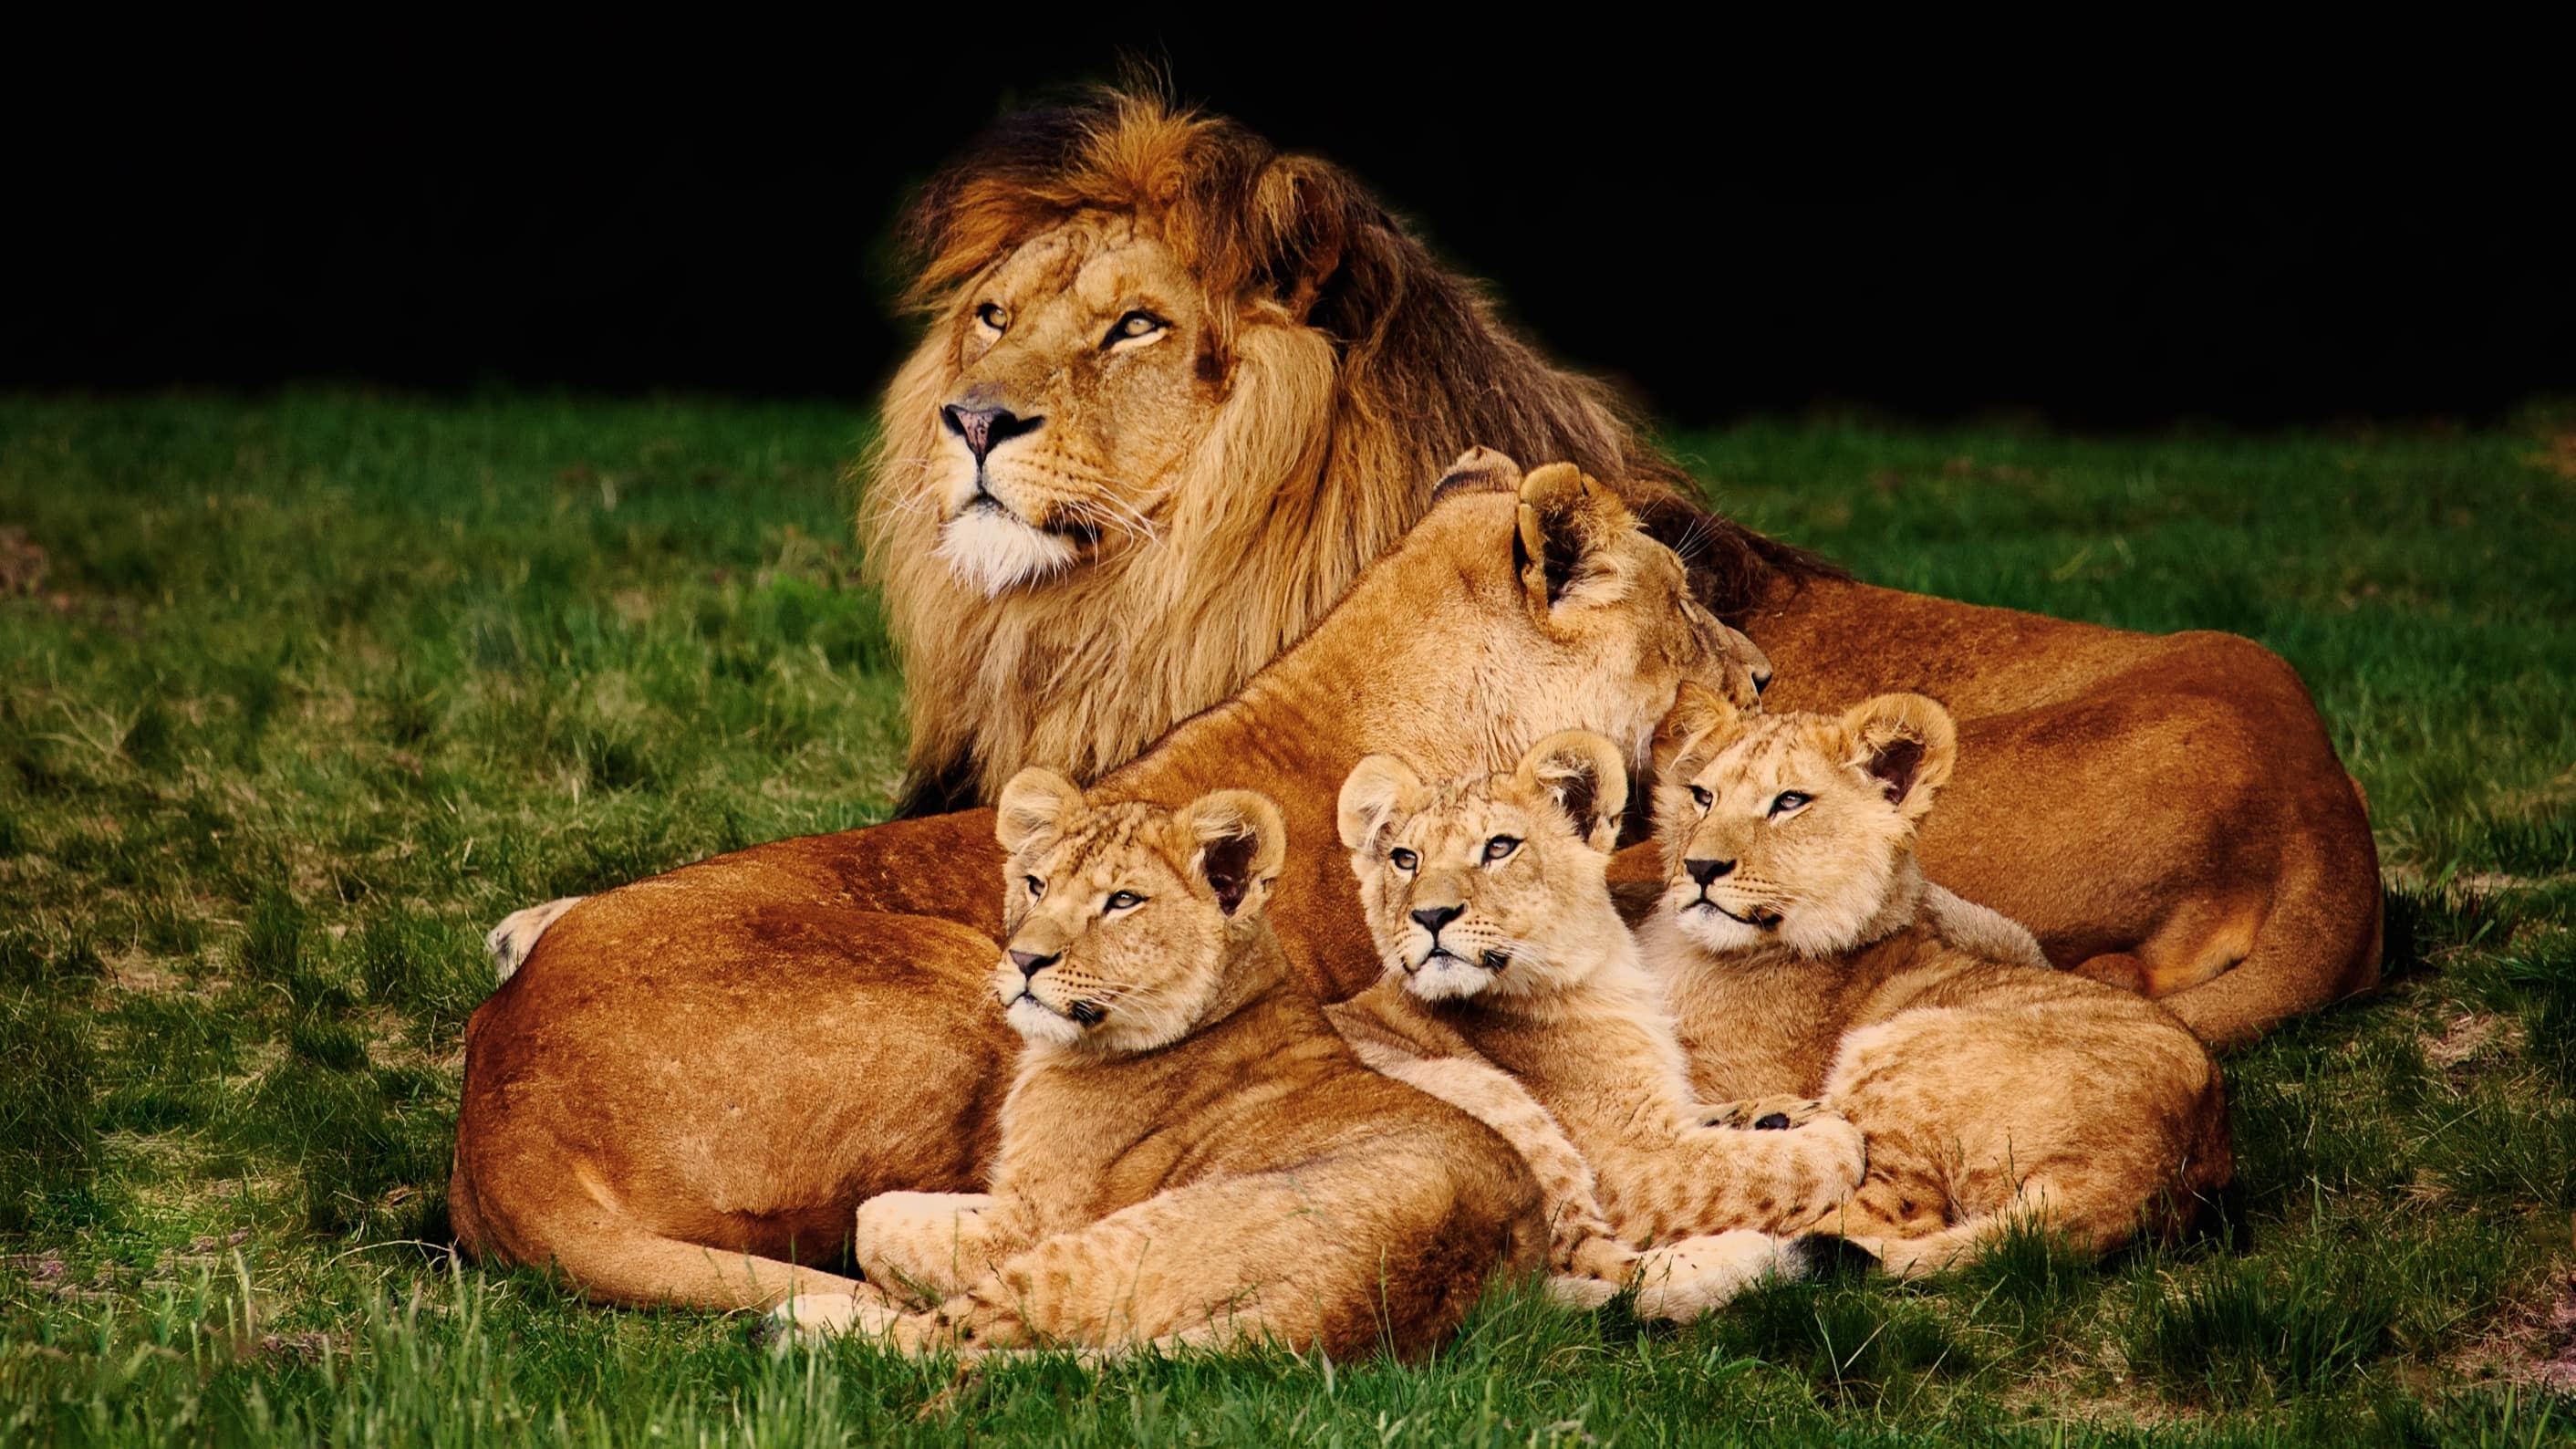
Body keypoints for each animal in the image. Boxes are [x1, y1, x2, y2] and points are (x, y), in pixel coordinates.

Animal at [768, 774, 1546, 1358]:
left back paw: (794, 1328)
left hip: (1116, 1242)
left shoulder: (1031, 1222)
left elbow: (875, 1219)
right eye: (1036, 885)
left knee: (960, 1340)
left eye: (1122, 901)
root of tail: (1344, 1307)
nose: (1024, 959)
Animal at [1327, 732, 1865, 1272]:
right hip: (1482, 1090)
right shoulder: (1637, 1165)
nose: (1430, 914)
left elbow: (1713, 1111)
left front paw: (1779, 1113)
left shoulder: (1664, 1105)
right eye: (1405, 860)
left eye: (1499, 847)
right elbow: (1793, 1163)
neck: (1604, 972)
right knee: (1598, 1269)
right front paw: (1829, 1136)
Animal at [1634, 683, 2234, 1275]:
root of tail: (2153, 1168)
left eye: (1790, 802)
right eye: (1702, 796)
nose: (1700, 868)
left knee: (1876, 1217)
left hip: (1892, 1053)